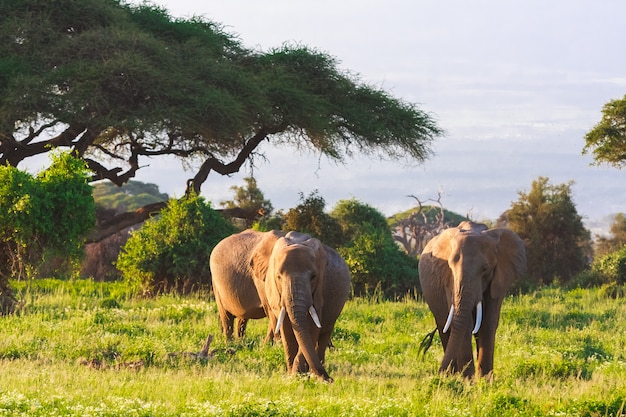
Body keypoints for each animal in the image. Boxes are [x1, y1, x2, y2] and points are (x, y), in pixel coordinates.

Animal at [416, 221, 524, 376]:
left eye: (485, 269)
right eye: (450, 266)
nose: (438, 372)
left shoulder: (498, 280)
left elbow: (488, 323)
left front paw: (485, 381)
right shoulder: (450, 281)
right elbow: (465, 324)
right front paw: (468, 380)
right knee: (444, 327)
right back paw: (451, 375)